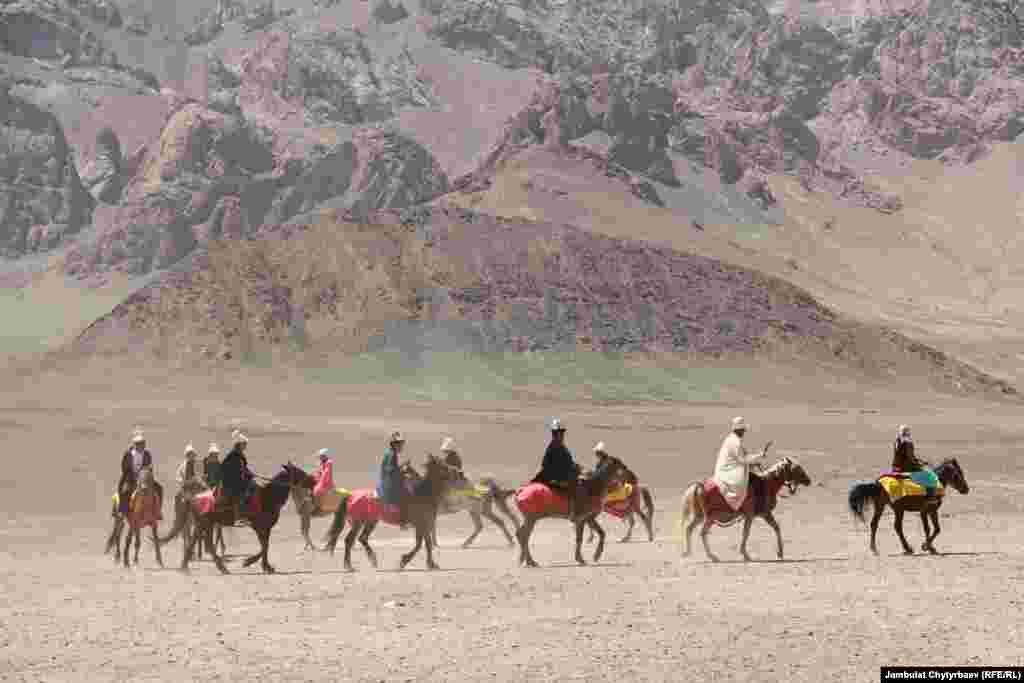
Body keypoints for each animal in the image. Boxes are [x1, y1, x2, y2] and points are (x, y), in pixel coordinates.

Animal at [180, 462, 313, 573]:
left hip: (205, 523)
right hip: (206, 522)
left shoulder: (265, 527)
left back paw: (187, 565)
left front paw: (266, 566)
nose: (312, 481)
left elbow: (265, 545)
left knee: (199, 541)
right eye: (297, 471)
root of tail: (193, 498)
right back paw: (220, 567)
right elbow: (264, 546)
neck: (268, 496)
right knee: (205, 542)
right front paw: (249, 562)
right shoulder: (259, 526)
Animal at [325, 454, 458, 573]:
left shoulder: (424, 525)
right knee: (349, 540)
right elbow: (421, 544)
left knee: (362, 538)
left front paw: (431, 564)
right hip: (358, 523)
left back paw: (372, 559)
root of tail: (350, 496)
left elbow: (426, 544)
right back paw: (349, 566)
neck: (422, 494)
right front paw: (404, 561)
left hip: (371, 521)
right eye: (442, 465)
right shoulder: (421, 524)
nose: (456, 471)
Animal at [679, 456, 815, 565]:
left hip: (700, 515)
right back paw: (712, 556)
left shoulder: (764, 514)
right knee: (702, 533)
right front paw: (746, 554)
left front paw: (780, 552)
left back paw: (687, 552)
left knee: (689, 529)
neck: (766, 484)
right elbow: (746, 533)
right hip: (710, 517)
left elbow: (776, 528)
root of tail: (699, 486)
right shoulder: (754, 514)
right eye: (797, 468)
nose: (808, 481)